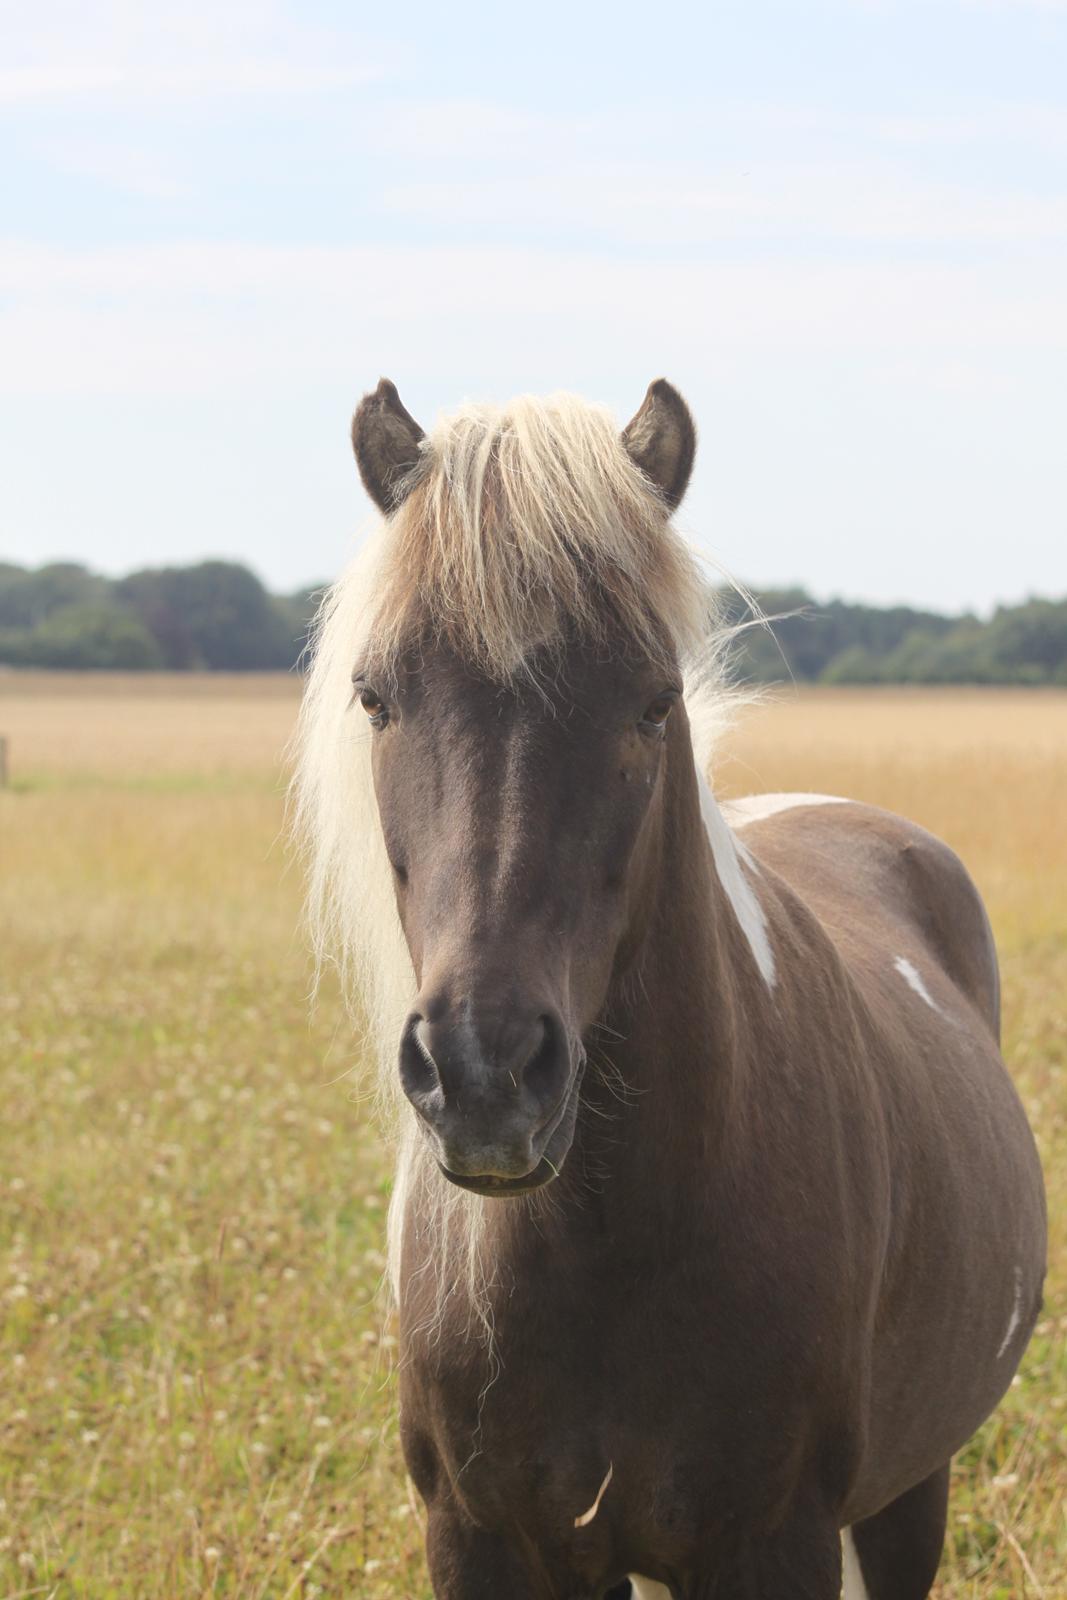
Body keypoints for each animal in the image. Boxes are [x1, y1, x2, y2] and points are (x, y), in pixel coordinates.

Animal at [292, 377, 1043, 1600]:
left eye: (651, 702)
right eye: (374, 697)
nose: (483, 1071)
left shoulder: (772, 1543)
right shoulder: (485, 1539)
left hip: (909, 1494)